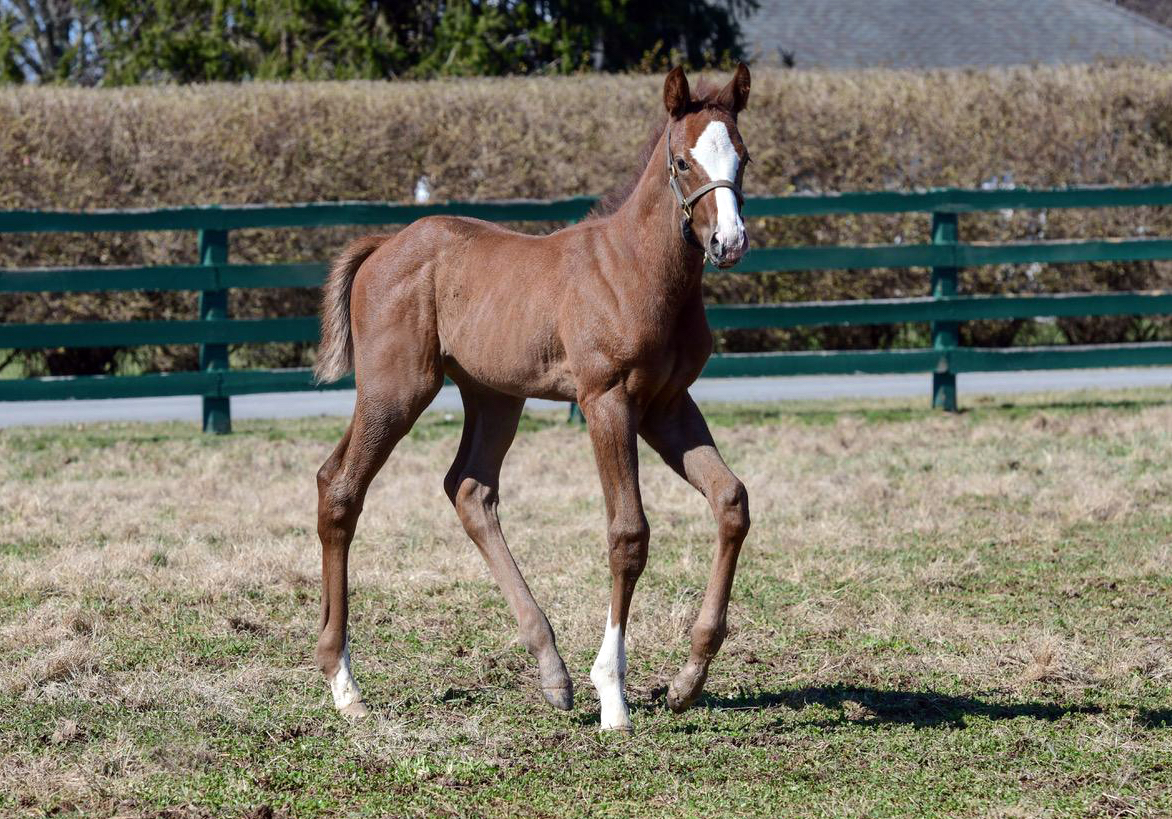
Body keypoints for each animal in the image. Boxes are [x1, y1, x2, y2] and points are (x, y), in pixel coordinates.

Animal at [311, 64, 750, 731]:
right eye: (681, 161)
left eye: (743, 159)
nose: (729, 241)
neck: (636, 269)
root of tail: (385, 245)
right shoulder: (606, 401)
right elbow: (628, 534)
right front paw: (613, 696)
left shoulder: (668, 406)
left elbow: (731, 501)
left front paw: (686, 680)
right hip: (396, 389)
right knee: (341, 487)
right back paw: (345, 685)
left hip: (494, 397)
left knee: (468, 489)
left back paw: (551, 671)